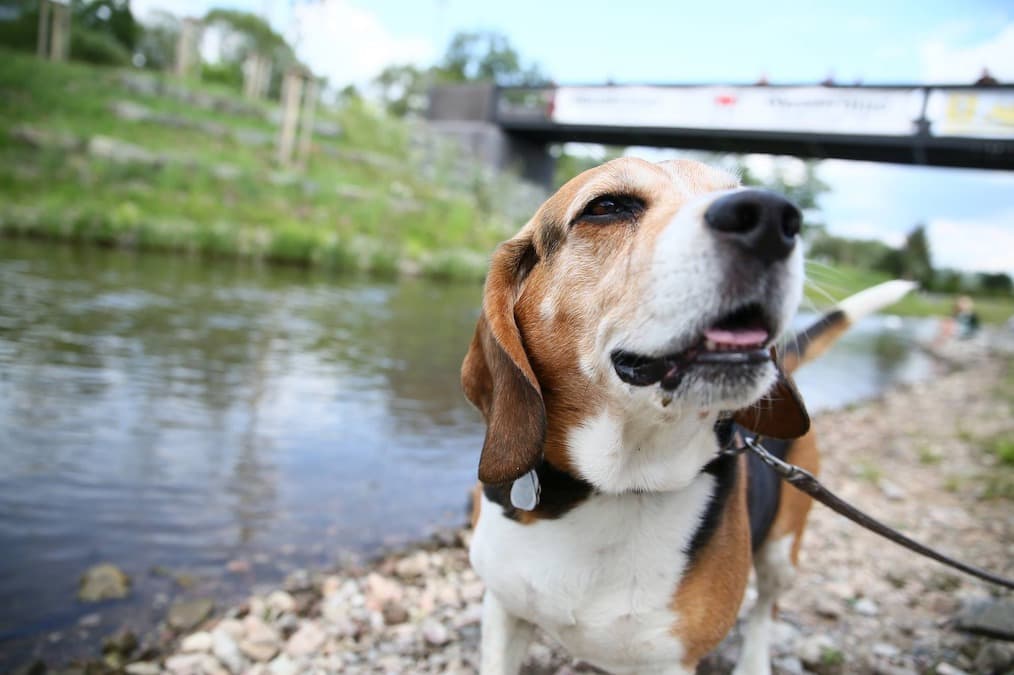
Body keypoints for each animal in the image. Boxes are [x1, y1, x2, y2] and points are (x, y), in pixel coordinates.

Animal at [464, 158, 916, 672]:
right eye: (606, 206)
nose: (772, 217)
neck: (616, 484)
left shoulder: (671, 659)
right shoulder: (503, 610)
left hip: (783, 550)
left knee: (767, 607)